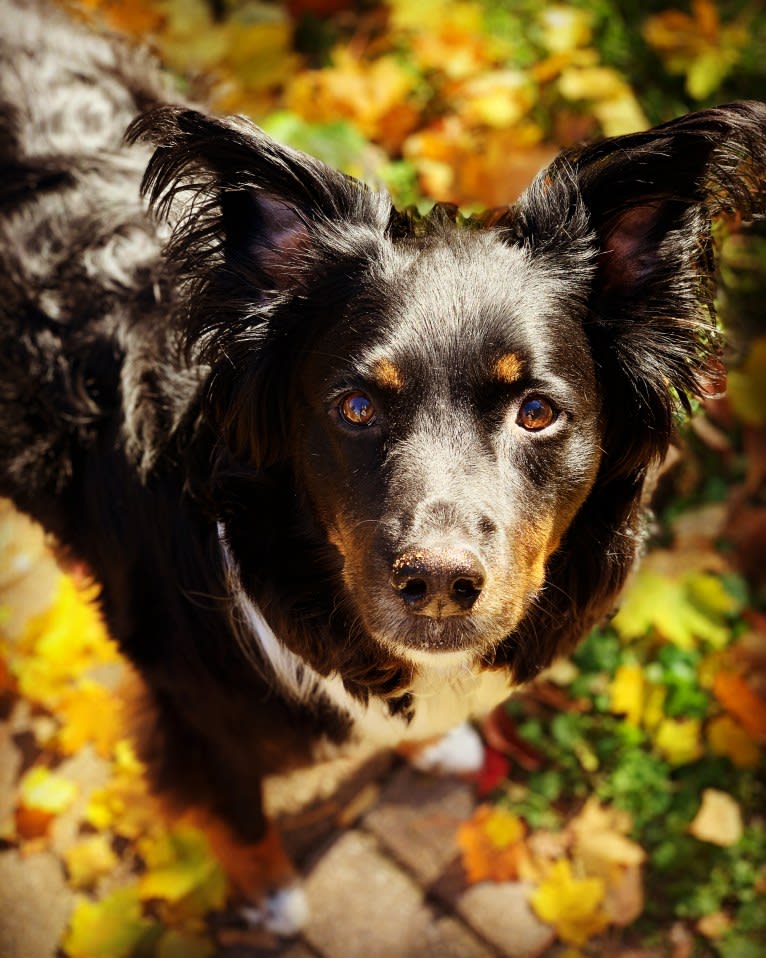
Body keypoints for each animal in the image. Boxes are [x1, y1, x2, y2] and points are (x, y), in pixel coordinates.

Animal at [1, 0, 766, 936]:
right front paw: (269, 893)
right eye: (356, 408)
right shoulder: (192, 709)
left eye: (537, 411)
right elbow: (238, 811)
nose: (437, 586)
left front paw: (438, 739)